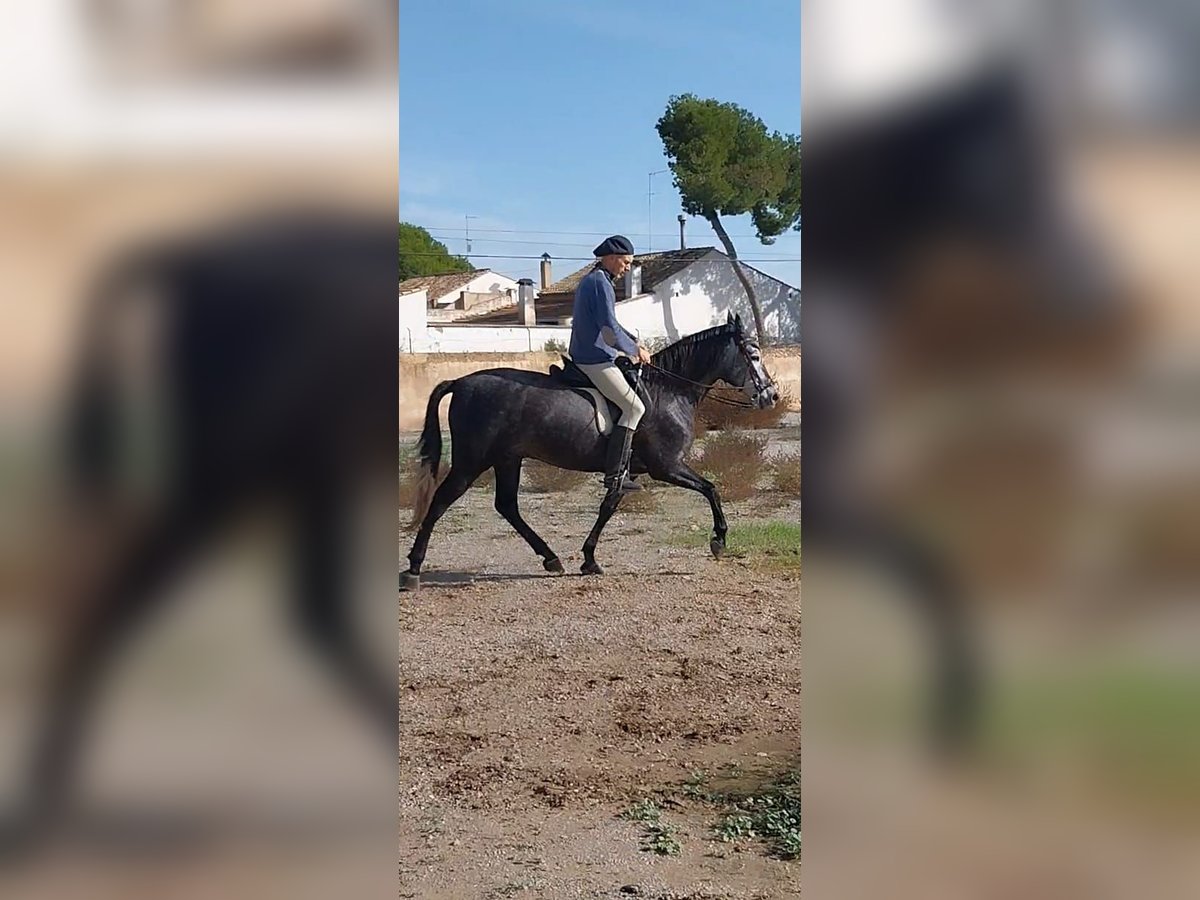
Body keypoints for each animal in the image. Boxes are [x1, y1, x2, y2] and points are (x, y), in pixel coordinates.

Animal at [403, 314, 777, 588]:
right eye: (754, 355)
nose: (771, 395)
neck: (670, 390)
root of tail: (461, 382)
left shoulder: (626, 471)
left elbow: (608, 507)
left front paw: (589, 559)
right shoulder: (667, 466)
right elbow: (711, 489)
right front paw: (719, 540)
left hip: (508, 459)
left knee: (507, 506)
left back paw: (550, 558)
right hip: (471, 462)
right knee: (440, 502)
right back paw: (413, 569)